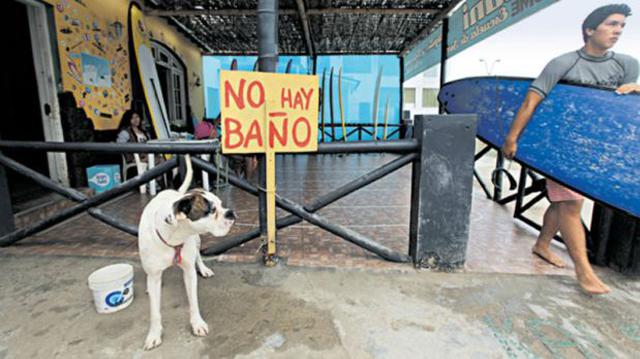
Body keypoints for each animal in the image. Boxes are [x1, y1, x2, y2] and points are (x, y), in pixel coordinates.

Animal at [138, 155, 235, 352]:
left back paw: (204, 269)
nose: (230, 212)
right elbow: (154, 310)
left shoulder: (189, 272)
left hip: (196, 240)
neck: (173, 237)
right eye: (211, 211)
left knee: (198, 254)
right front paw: (154, 334)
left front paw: (197, 323)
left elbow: (193, 301)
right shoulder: (154, 275)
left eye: (221, 205)